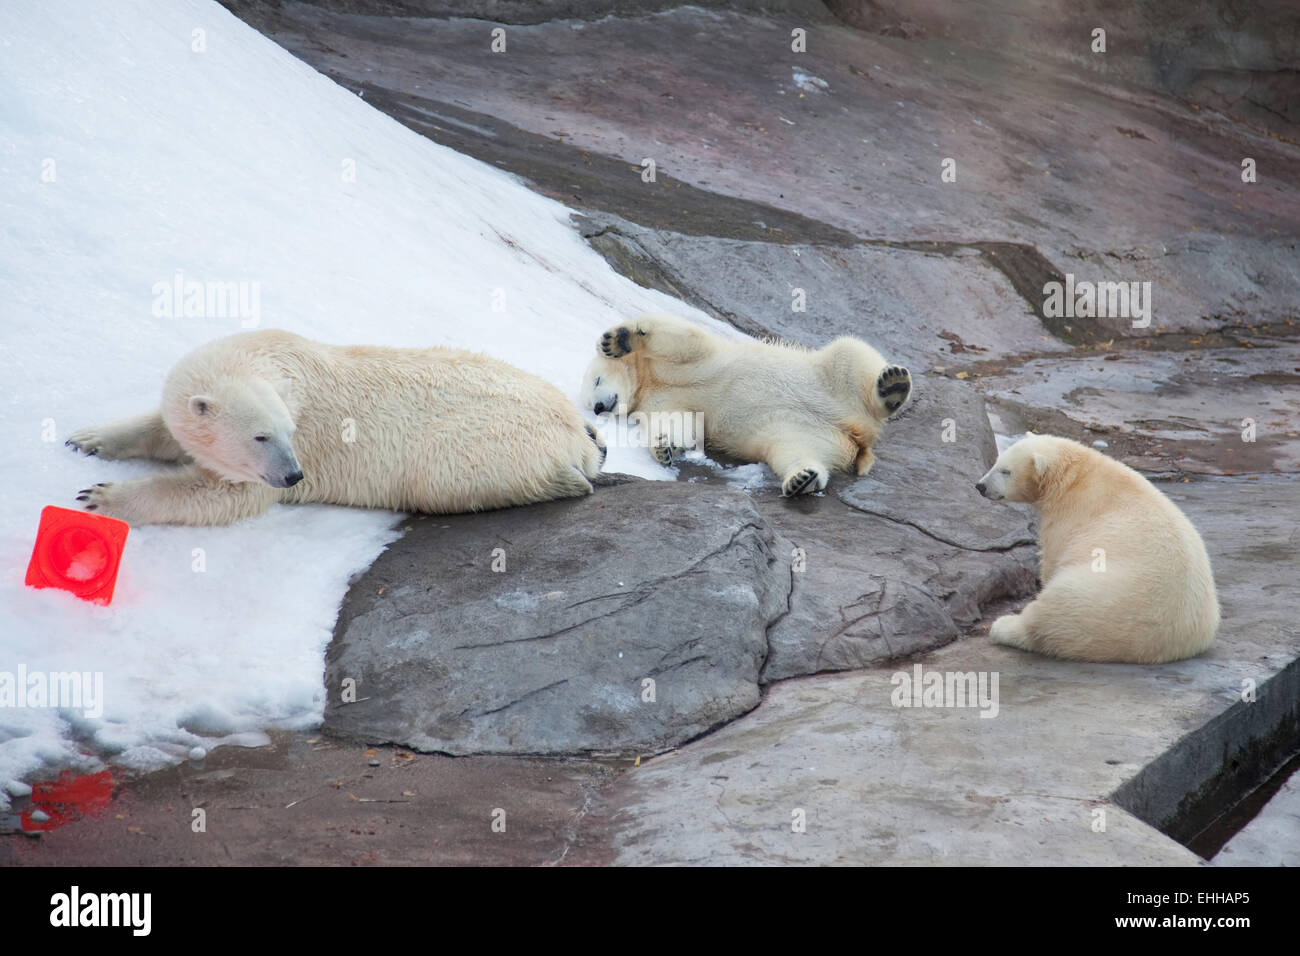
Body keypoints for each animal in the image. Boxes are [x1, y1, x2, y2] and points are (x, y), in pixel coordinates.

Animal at [66, 329, 605, 526]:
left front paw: (103, 496)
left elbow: (227, 495)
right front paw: (86, 438)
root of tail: (573, 429)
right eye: (262, 435)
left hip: (478, 449)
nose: (294, 476)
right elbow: (161, 428)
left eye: (288, 432)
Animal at [580, 313, 911, 496]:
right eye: (589, 402)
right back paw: (801, 479)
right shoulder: (657, 402)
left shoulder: (682, 362)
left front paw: (618, 340)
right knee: (792, 450)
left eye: (596, 381)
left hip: (827, 382)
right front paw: (664, 447)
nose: (598, 408)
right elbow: (679, 422)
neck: (649, 382)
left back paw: (892, 385)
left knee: (848, 353)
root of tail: (858, 434)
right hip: (802, 432)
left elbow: (683, 339)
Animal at [976, 433, 1219, 663]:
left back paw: (1004, 626)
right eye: (995, 462)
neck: (1074, 476)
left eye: (1006, 471)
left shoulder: (1070, 515)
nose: (981, 486)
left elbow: (1052, 559)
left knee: (1049, 617)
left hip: (1087, 597)